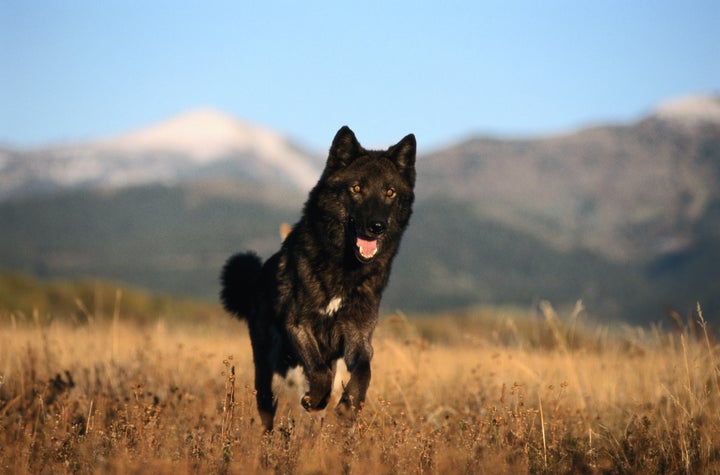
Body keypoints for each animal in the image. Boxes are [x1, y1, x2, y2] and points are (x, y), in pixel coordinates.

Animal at [222, 126, 420, 432]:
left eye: (390, 192)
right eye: (357, 188)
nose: (377, 226)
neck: (344, 269)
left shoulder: (358, 335)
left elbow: (364, 370)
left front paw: (348, 407)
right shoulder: (298, 324)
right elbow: (319, 371)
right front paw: (314, 399)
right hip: (267, 373)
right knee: (268, 411)